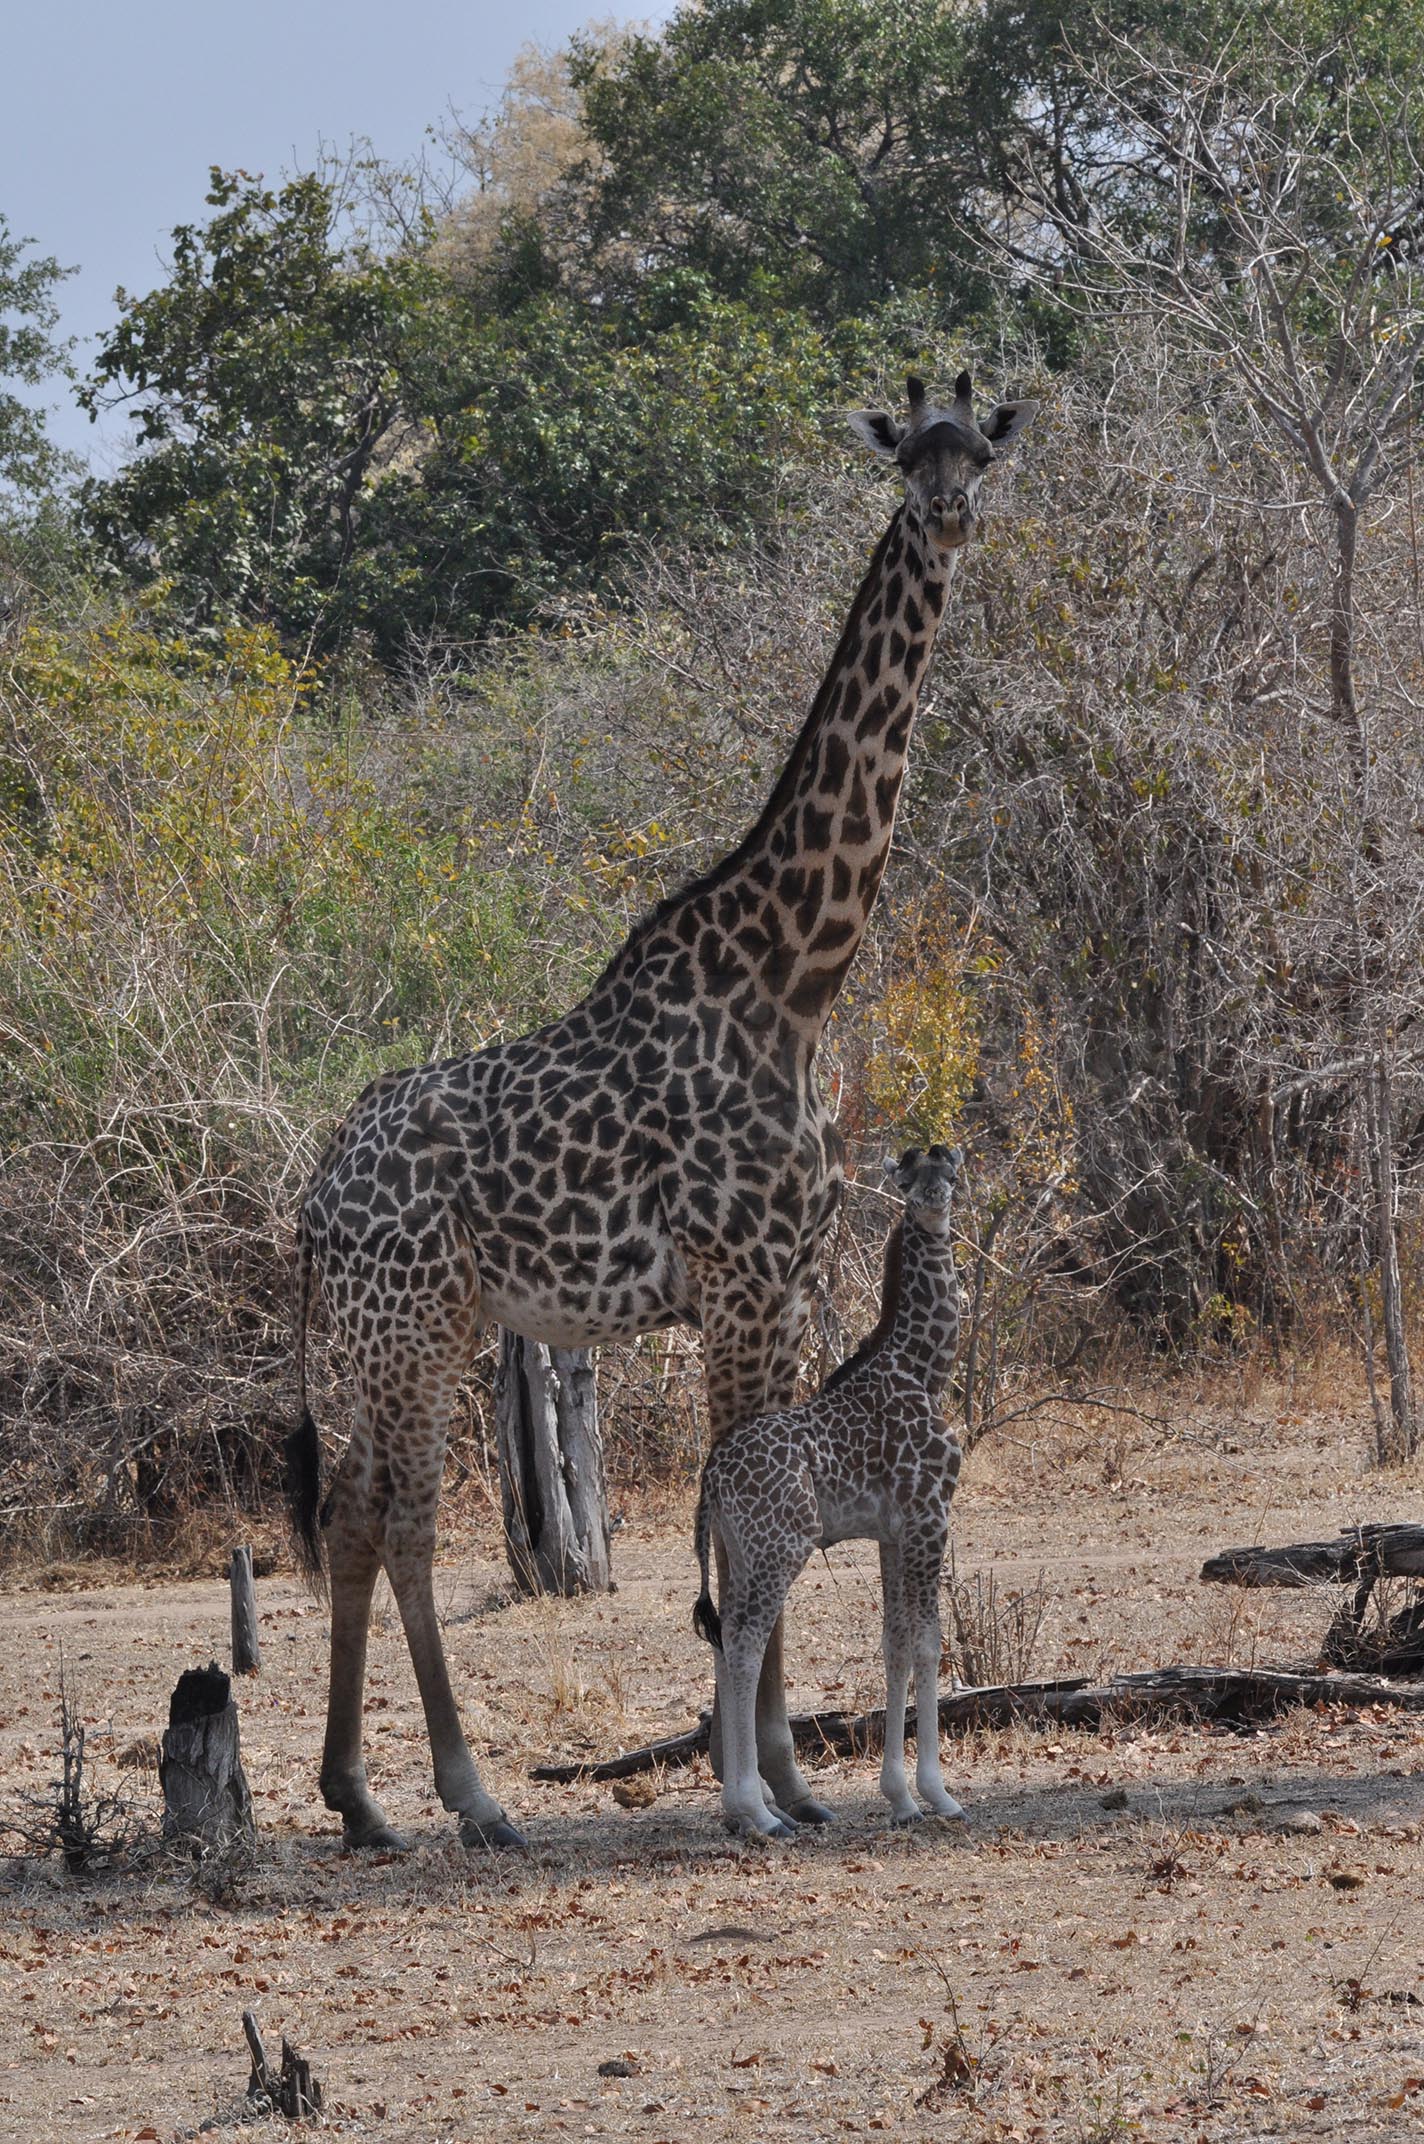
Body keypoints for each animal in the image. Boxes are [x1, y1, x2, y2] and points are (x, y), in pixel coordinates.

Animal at [690, 1149, 969, 1835]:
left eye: (950, 1170)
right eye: (909, 1176)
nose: (933, 1202)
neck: (926, 1365)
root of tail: (711, 1478)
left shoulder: (894, 1533)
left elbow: (896, 1645)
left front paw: (900, 1797)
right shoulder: (931, 1516)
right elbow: (929, 1645)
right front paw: (938, 1794)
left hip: (742, 1552)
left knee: (725, 1641)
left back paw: (753, 1809)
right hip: (781, 1546)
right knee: (744, 1644)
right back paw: (756, 1812)